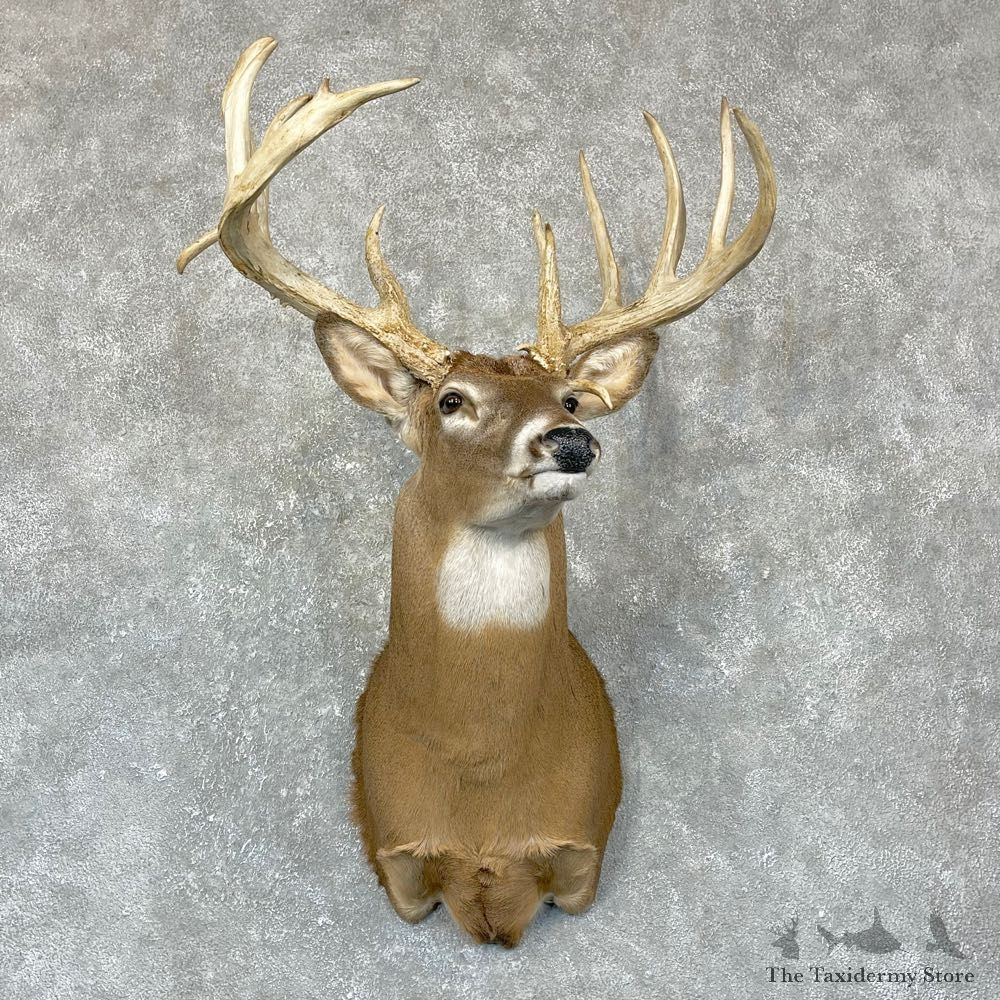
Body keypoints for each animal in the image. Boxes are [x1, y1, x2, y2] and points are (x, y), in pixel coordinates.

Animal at [177, 37, 776, 947]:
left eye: (571, 399)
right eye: (451, 401)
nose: (571, 441)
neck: (484, 774)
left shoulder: (581, 844)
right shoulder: (394, 849)